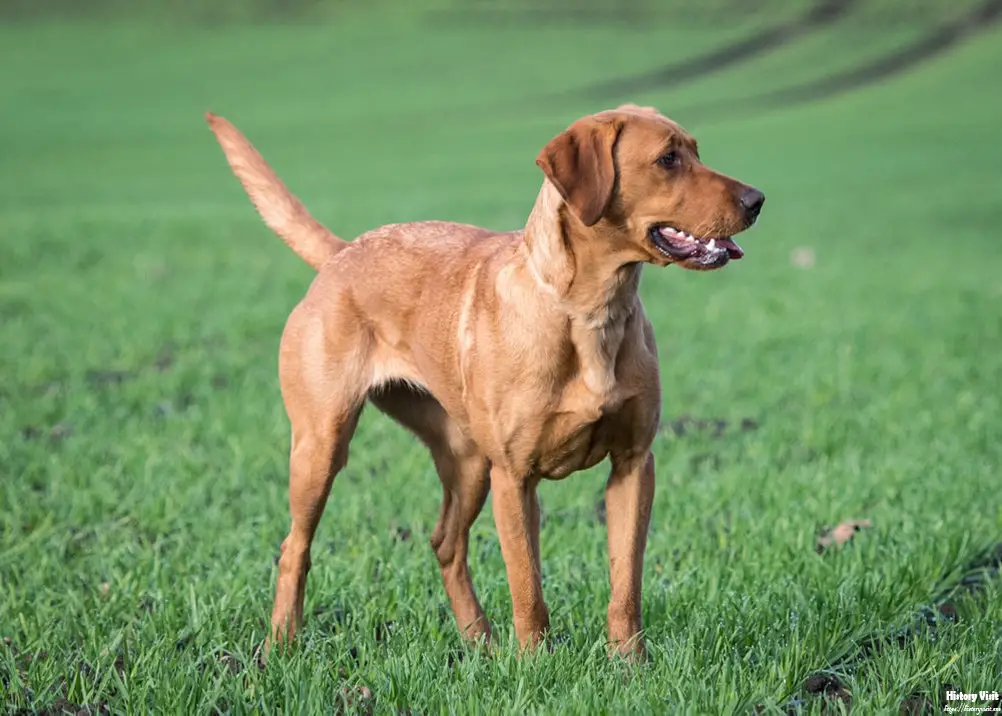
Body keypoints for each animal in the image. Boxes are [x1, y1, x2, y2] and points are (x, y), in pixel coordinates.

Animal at [207, 105, 761, 660]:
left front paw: (630, 663)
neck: (591, 311)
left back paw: (480, 641)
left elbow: (626, 583)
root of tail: (343, 253)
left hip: (466, 458)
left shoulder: (633, 464)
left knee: (445, 542)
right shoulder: (515, 477)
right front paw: (536, 664)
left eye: (696, 151)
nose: (756, 200)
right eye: (668, 159)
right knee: (294, 547)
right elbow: (527, 586)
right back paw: (282, 642)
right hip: (322, 446)